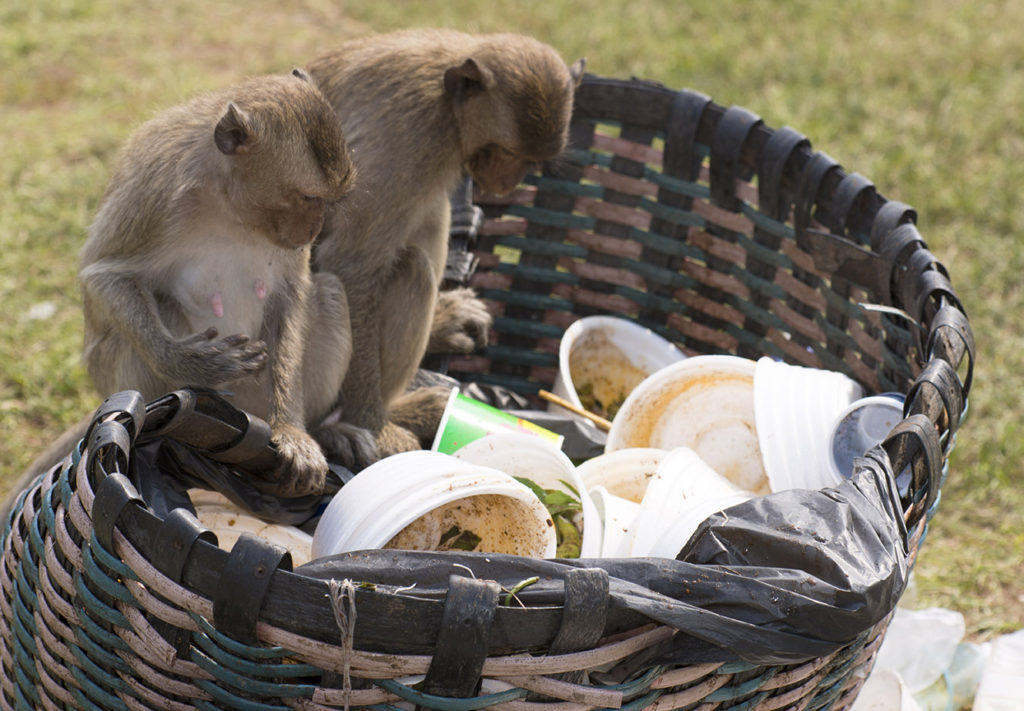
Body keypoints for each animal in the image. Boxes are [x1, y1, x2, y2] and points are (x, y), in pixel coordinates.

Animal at [72, 69, 360, 497]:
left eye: (331, 199)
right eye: (309, 196)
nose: (314, 230)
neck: (230, 204)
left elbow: (291, 298)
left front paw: (292, 432)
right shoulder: (156, 196)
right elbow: (104, 274)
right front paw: (192, 362)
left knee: (328, 292)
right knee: (135, 328)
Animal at [305, 29, 585, 467]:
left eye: (528, 161)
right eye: (508, 153)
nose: (508, 183)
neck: (448, 105)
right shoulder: (411, 141)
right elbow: (350, 266)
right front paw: (373, 428)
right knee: (412, 267)